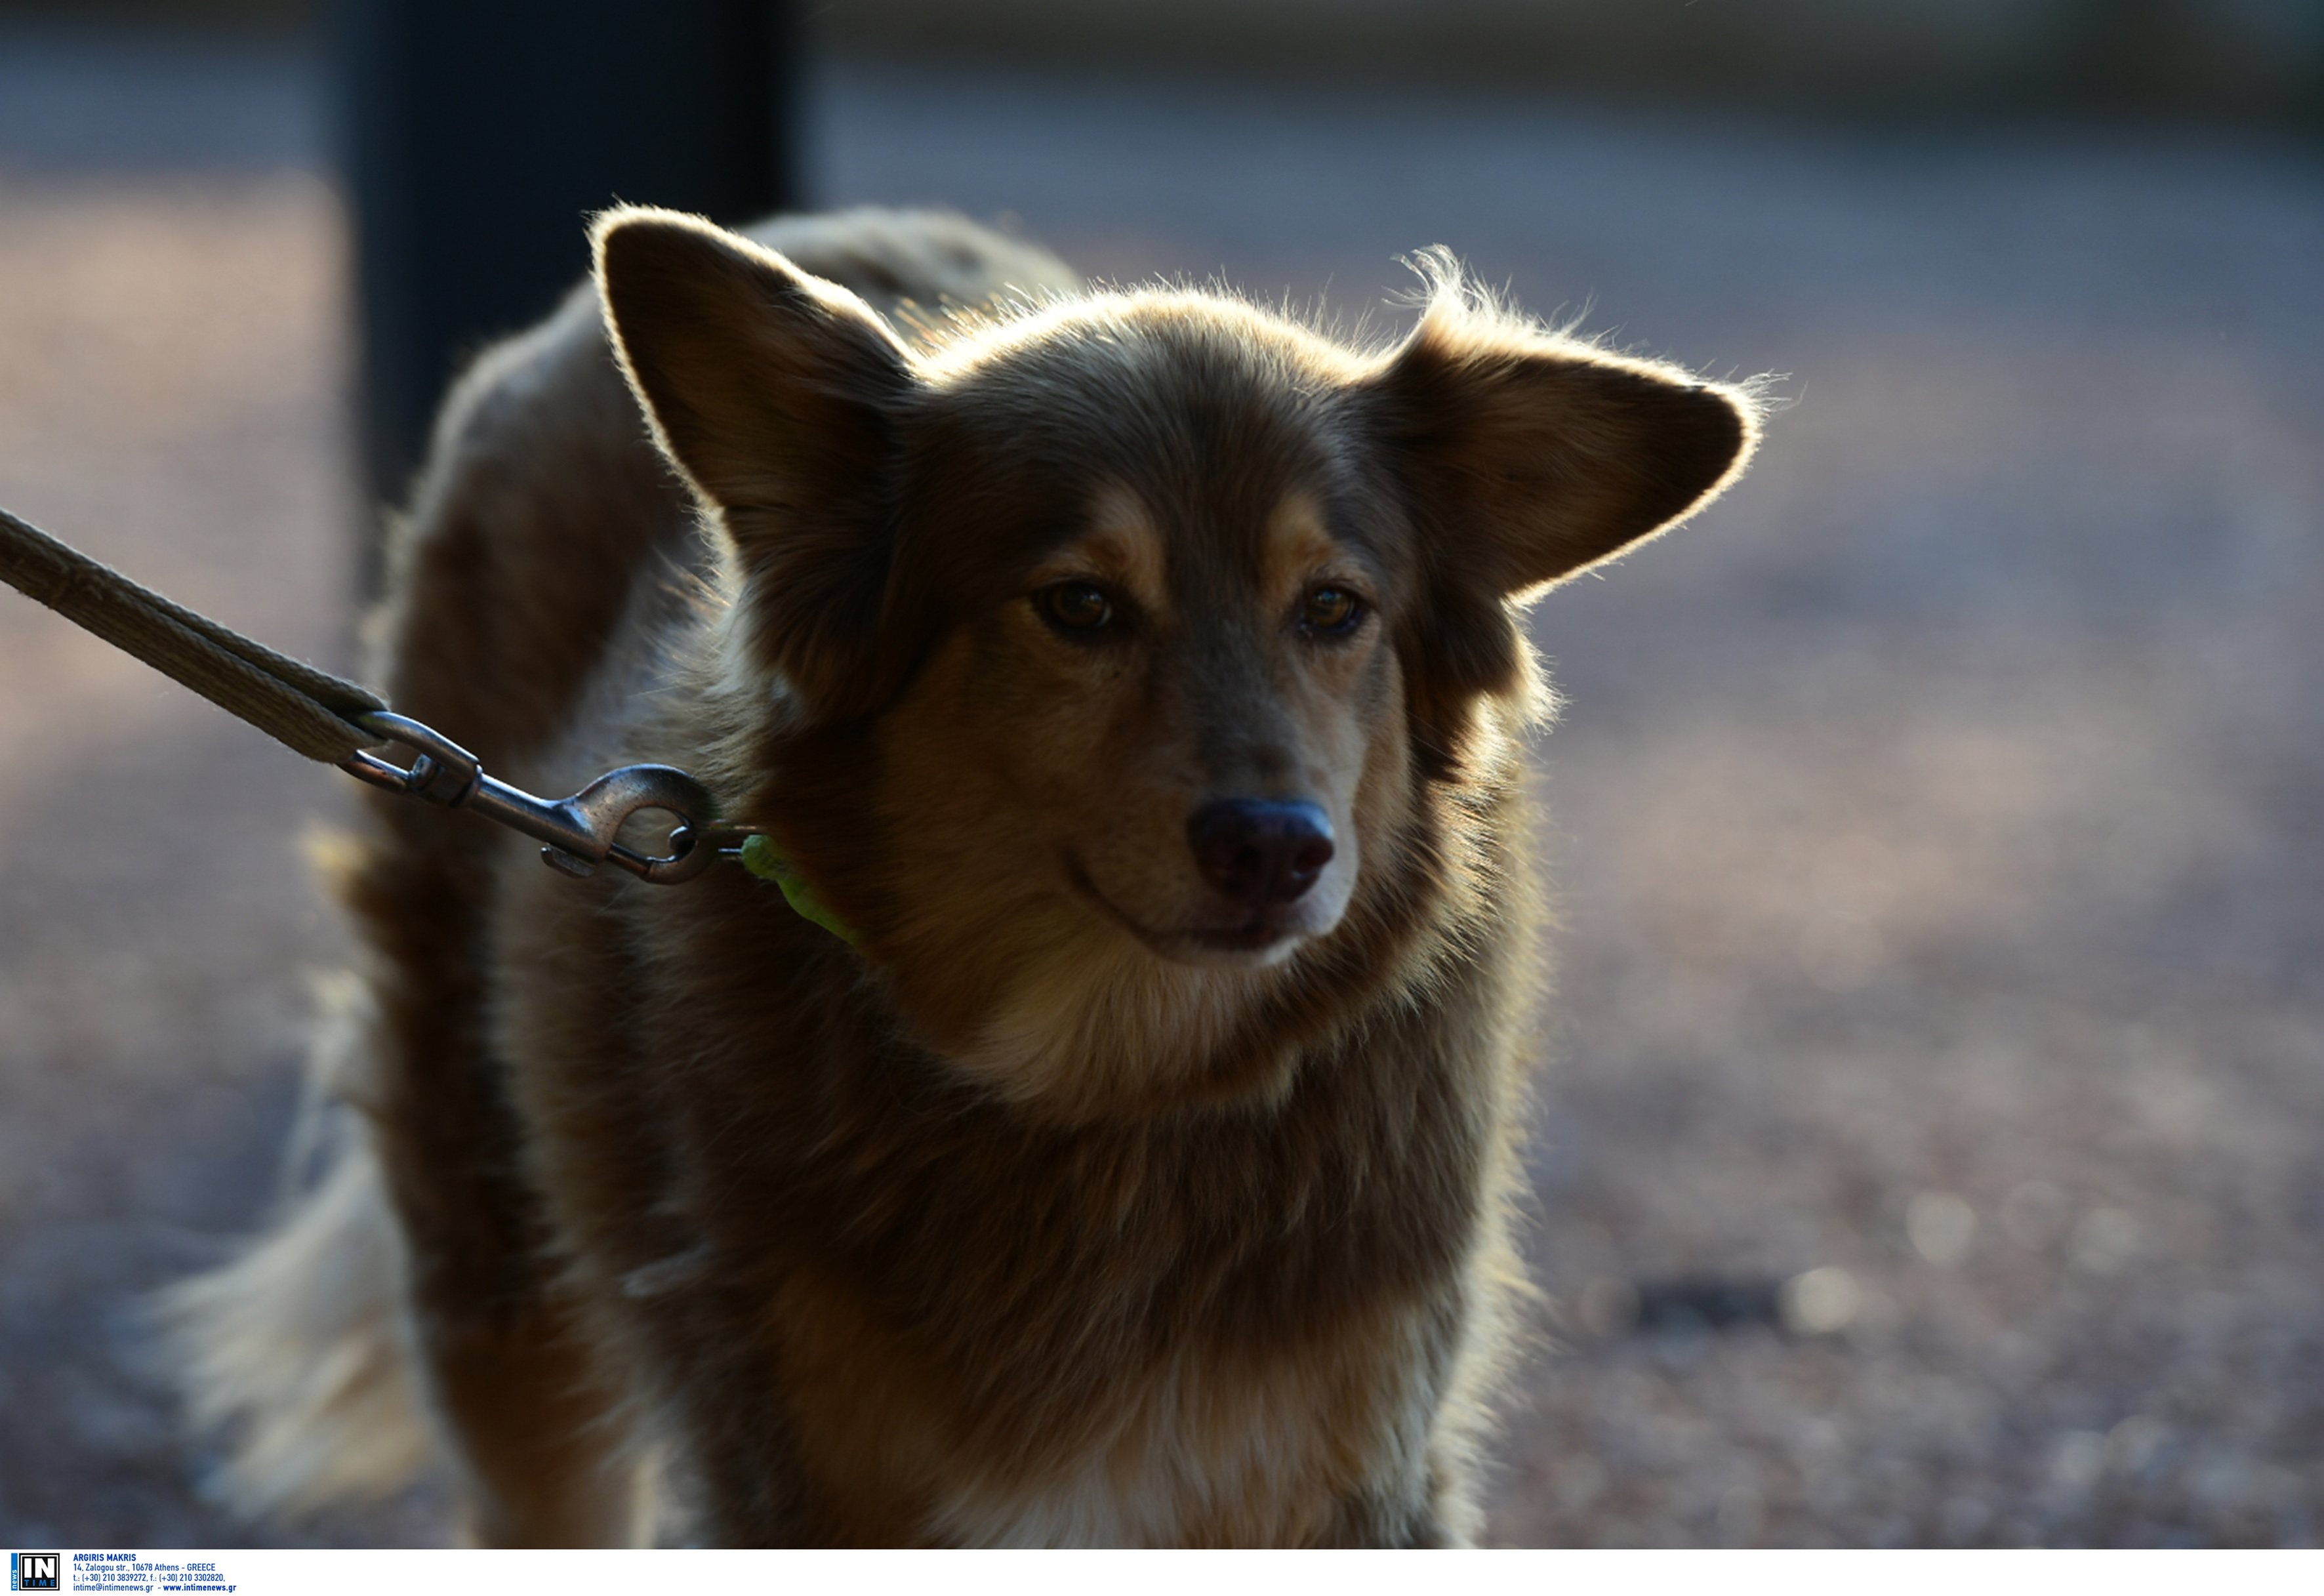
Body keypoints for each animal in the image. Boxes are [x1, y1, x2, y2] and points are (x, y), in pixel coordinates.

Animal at [163, 205, 1747, 1542]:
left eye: (1333, 607)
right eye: (1080, 605)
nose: (1280, 849)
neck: (1106, 1098)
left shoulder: (1346, 1467)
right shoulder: (805, 1473)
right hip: (494, 1250)